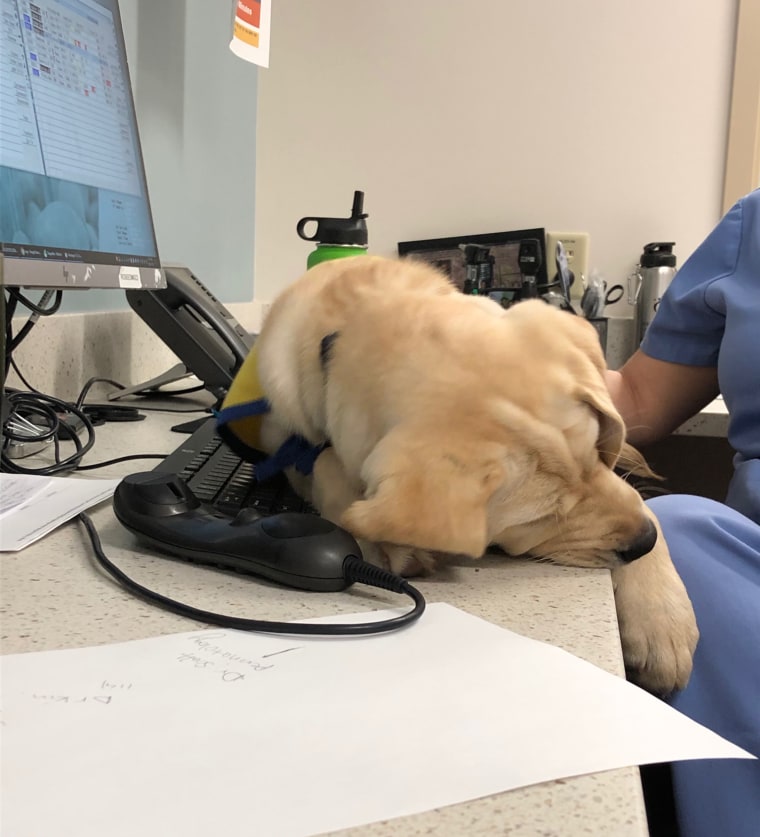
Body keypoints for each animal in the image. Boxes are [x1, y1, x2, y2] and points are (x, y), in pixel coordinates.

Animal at [252, 253, 696, 692]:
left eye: (600, 453)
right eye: (542, 518)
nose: (643, 542)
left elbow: (641, 502)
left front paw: (662, 621)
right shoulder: (284, 437)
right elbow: (323, 465)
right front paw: (385, 543)